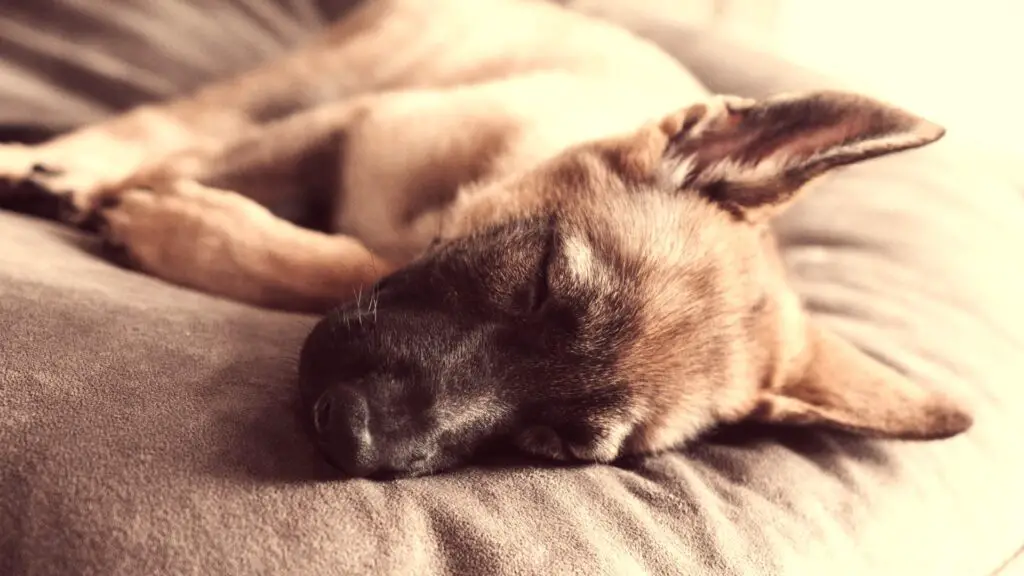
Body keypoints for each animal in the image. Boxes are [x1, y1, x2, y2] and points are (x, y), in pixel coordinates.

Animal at [0, 0, 966, 475]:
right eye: (540, 281)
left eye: (561, 447)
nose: (352, 441)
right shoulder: (353, 121)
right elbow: (216, 168)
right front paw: (143, 203)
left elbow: (348, 264)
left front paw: (179, 224)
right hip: (329, 73)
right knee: (178, 118)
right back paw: (54, 166)